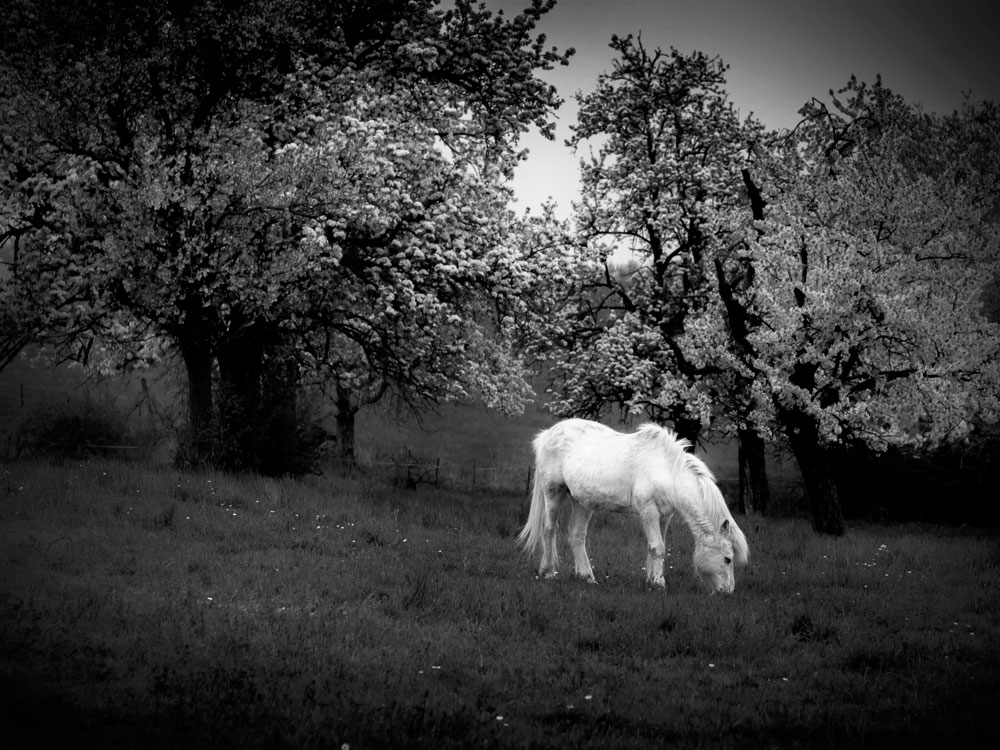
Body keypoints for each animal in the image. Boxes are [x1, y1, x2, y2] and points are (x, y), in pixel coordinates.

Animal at [520, 420, 748, 596]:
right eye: (727, 559)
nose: (728, 592)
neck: (666, 469)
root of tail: (547, 434)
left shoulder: (664, 516)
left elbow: (656, 547)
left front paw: (652, 579)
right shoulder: (648, 511)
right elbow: (657, 547)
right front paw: (659, 583)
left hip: (582, 502)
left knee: (576, 535)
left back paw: (587, 577)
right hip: (553, 492)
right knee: (549, 530)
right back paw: (548, 572)